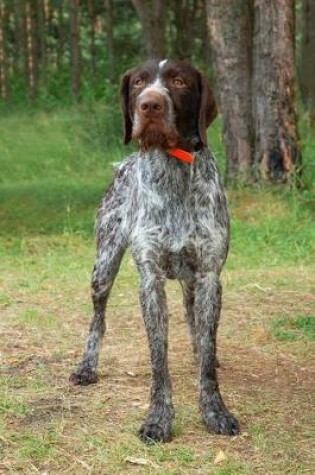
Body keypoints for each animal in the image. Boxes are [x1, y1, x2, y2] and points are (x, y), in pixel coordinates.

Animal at [70, 58, 241, 442]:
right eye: (138, 83)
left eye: (179, 81)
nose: (150, 105)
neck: (173, 168)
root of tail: (122, 163)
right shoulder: (150, 279)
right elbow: (158, 357)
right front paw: (158, 418)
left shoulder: (209, 275)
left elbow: (207, 351)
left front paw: (215, 410)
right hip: (103, 267)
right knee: (98, 319)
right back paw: (87, 366)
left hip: (192, 283)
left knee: (196, 324)